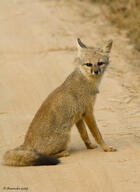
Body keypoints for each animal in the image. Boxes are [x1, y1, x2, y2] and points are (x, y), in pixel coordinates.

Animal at [3, 38, 116, 166]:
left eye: (100, 63)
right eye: (89, 64)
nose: (96, 71)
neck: (86, 81)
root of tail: (26, 142)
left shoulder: (79, 116)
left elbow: (85, 135)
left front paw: (90, 146)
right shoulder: (88, 112)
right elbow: (97, 134)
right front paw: (106, 148)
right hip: (66, 136)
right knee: (46, 154)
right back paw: (63, 153)